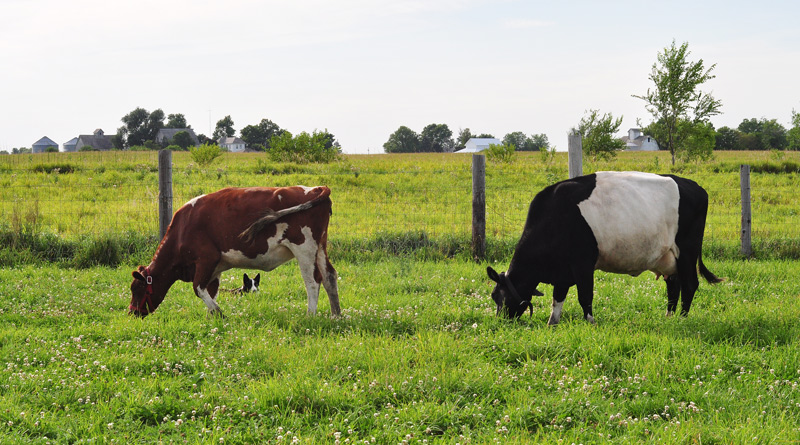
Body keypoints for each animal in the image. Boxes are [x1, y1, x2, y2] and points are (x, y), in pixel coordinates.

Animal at [129, 186, 340, 318]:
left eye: (136, 288)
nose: (132, 313)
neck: (183, 227)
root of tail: (316, 188)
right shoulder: (215, 267)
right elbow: (211, 290)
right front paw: (211, 318)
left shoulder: (206, 258)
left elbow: (198, 288)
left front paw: (219, 314)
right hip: (320, 248)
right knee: (329, 276)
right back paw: (336, 315)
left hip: (305, 248)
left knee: (313, 282)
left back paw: (310, 315)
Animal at [487, 171, 722, 325]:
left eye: (499, 296)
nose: (502, 321)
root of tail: (696, 187)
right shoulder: (563, 271)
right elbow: (558, 298)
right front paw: (552, 323)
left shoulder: (583, 263)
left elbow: (585, 296)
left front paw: (590, 321)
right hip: (668, 257)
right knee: (673, 286)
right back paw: (669, 317)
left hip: (687, 252)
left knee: (689, 284)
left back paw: (682, 318)